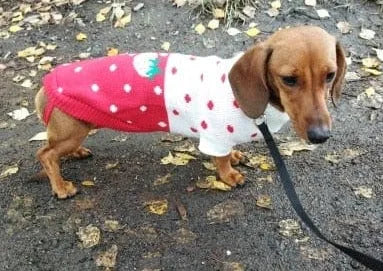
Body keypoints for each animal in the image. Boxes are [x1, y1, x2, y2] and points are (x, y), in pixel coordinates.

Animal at [35, 25, 348, 199]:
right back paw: (61, 187)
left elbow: (228, 152)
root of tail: (46, 85)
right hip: (72, 131)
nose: (321, 136)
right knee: (46, 154)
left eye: (330, 75)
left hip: (75, 130)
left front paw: (236, 155)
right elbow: (220, 160)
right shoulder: (215, 137)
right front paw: (229, 175)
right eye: (289, 79)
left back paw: (76, 155)